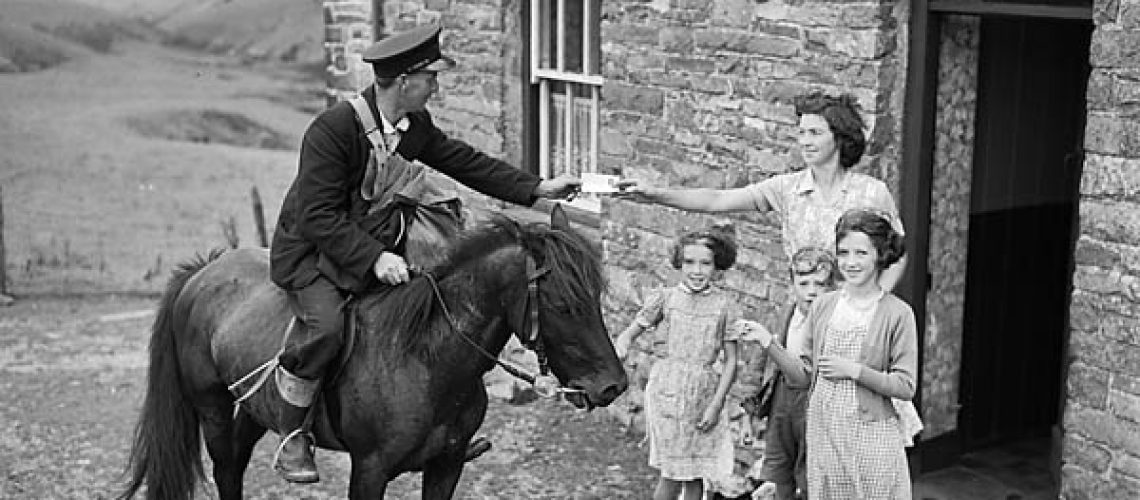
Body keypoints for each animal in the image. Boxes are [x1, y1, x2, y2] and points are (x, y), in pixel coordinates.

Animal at [119, 205, 629, 498]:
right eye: (563, 304)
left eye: (596, 296)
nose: (613, 386)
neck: (426, 362)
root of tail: (204, 271)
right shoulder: (369, 471)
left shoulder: (445, 467)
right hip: (213, 410)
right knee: (226, 468)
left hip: (252, 409)